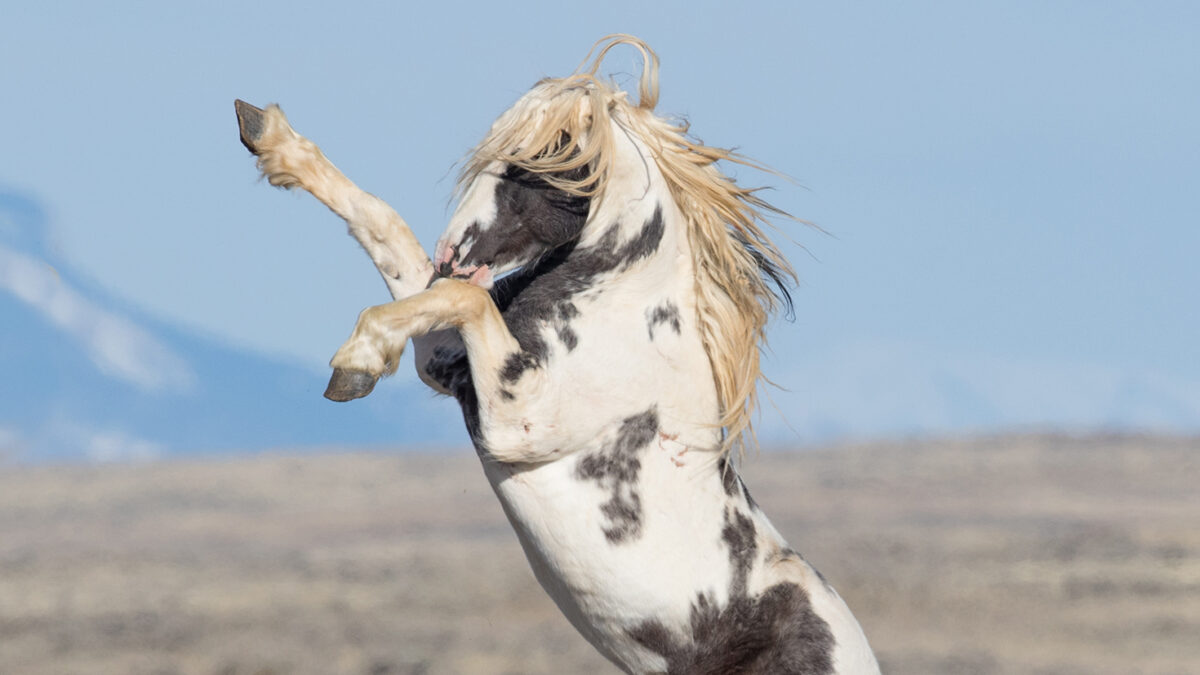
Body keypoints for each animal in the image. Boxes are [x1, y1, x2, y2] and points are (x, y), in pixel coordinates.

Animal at [234, 35, 883, 672]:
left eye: (534, 166)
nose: (452, 251)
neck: (623, 312)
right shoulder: (445, 363)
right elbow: (392, 235)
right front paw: (272, 141)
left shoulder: (517, 420)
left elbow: (461, 296)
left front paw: (355, 360)